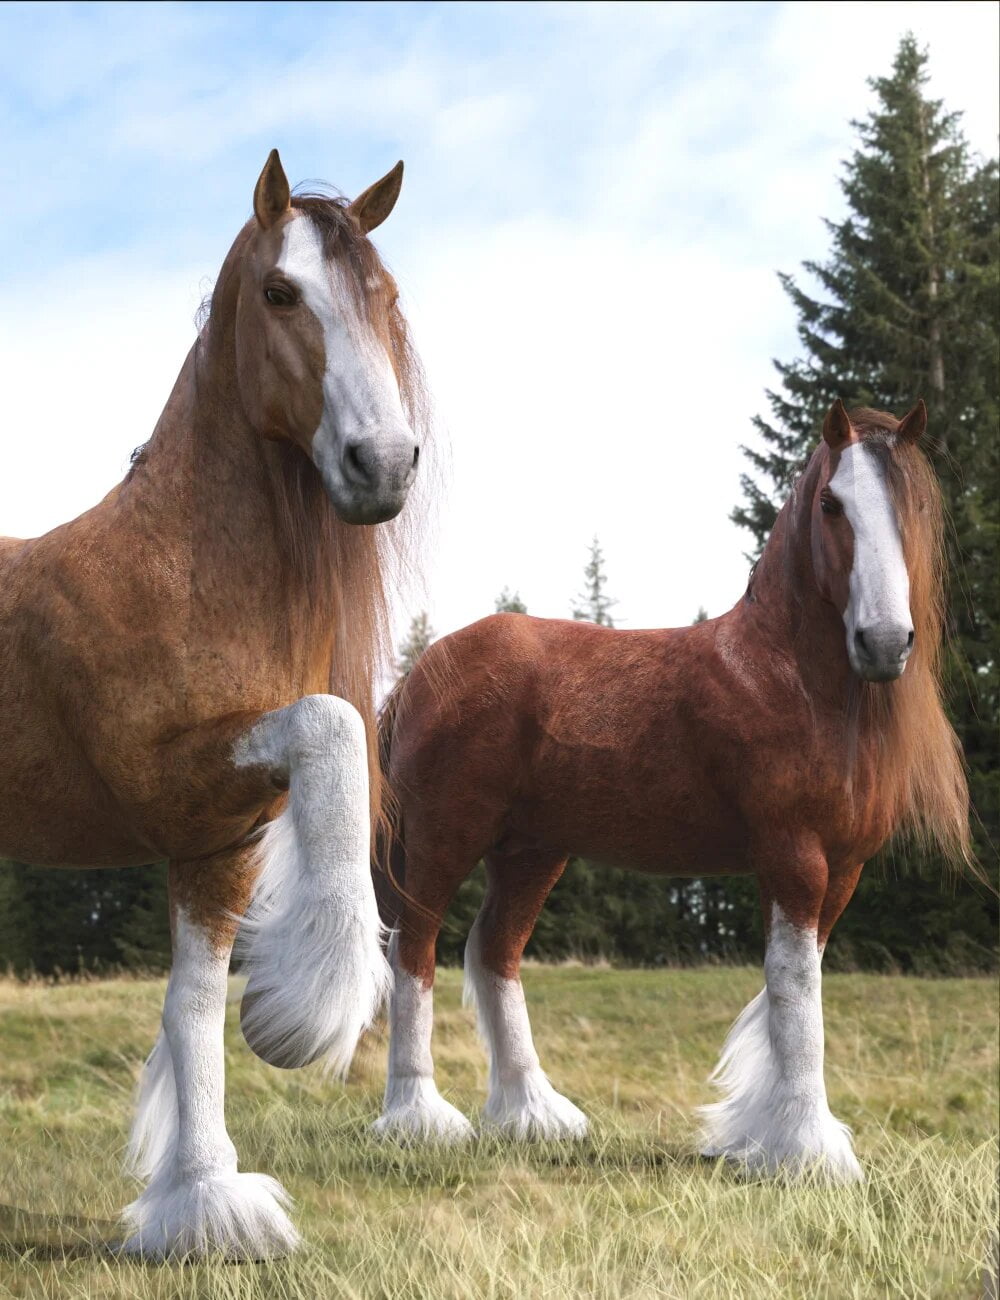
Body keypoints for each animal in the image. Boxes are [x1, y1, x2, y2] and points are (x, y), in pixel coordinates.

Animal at [0, 154, 429, 1258]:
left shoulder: (214, 844)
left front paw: (199, 1197)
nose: (383, 463)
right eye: (280, 292)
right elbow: (333, 722)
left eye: (386, 298)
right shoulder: (169, 779)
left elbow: (190, 1008)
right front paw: (305, 1009)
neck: (181, 570)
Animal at [371, 400, 967, 1185]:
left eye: (913, 506)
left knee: (493, 950)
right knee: (415, 948)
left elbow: (793, 982)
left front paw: (757, 1137)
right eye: (833, 504)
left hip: (532, 851)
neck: (787, 680)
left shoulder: (841, 870)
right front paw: (807, 1149)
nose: (885, 642)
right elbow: (796, 991)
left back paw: (533, 1115)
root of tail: (422, 672)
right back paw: (419, 1120)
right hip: (446, 835)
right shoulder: (793, 856)